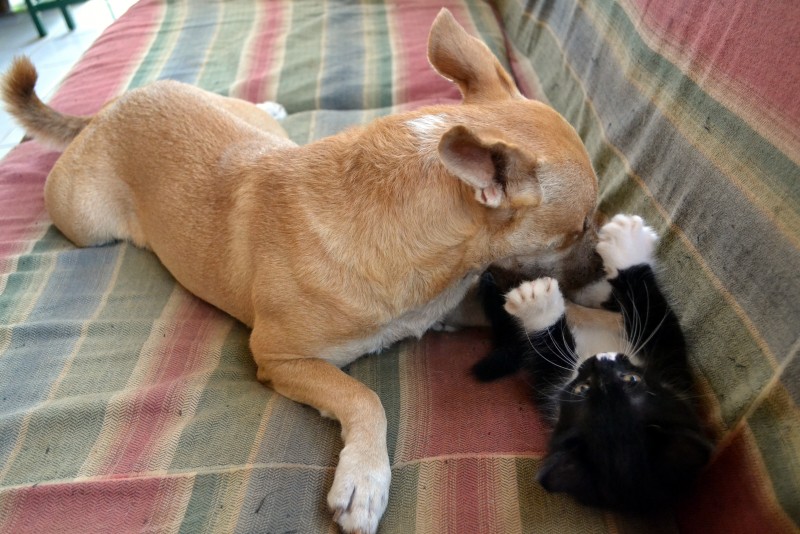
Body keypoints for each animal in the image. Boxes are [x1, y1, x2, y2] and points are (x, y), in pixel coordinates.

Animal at [2, 10, 599, 533]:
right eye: (579, 228)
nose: (599, 267)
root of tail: (110, 108)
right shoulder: (281, 359)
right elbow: (364, 397)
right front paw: (364, 479)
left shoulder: (456, 303)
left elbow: (572, 317)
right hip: (84, 224)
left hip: (245, 121)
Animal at [473, 214, 713, 513]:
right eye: (583, 388)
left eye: (632, 379)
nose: (598, 361)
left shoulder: (671, 370)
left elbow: (655, 316)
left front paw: (625, 248)